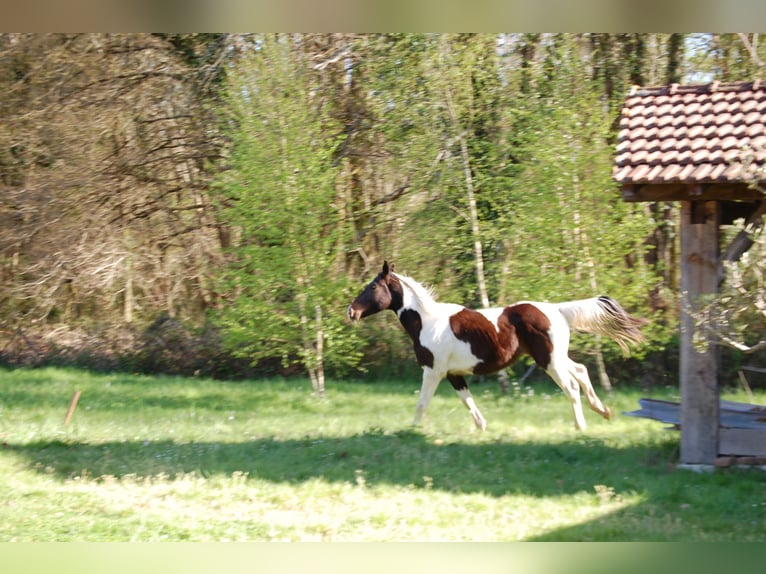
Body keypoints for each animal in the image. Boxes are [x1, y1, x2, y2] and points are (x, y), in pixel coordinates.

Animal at [348, 260, 648, 432]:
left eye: (373, 286)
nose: (351, 311)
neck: (427, 322)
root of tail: (558, 309)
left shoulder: (433, 371)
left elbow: (422, 403)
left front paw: (412, 430)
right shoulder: (454, 374)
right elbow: (468, 402)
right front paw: (483, 428)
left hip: (549, 361)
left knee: (572, 387)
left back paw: (581, 426)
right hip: (557, 357)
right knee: (583, 371)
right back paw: (603, 411)